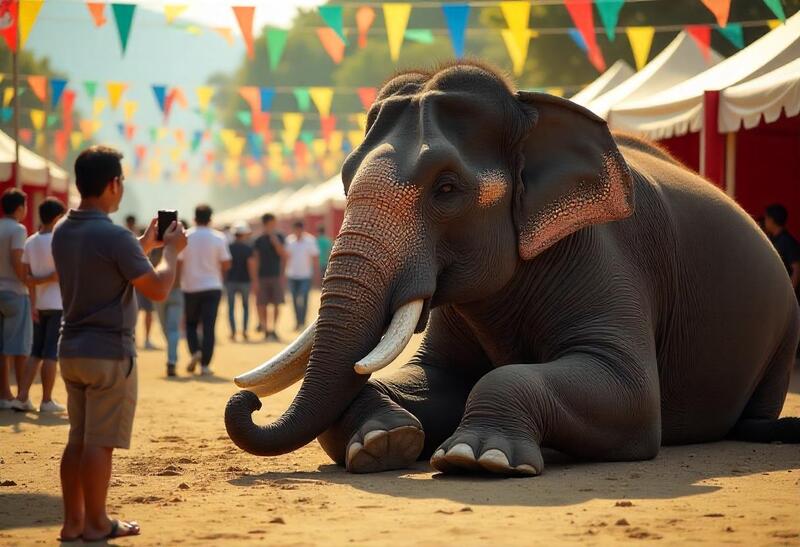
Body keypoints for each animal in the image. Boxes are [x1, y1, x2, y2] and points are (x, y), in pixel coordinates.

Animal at [225, 61, 800, 477]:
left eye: (447, 188)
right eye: (345, 179)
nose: (245, 401)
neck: (532, 112)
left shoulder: (605, 256)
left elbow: (631, 395)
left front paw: (477, 458)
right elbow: (436, 378)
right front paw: (384, 443)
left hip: (783, 325)